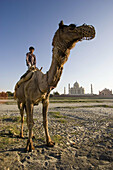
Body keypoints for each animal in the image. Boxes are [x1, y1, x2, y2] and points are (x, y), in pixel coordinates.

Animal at [14, 20, 95, 152]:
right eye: (72, 26)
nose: (90, 28)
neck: (43, 81)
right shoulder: (29, 100)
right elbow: (31, 122)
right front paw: (29, 146)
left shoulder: (45, 100)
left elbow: (45, 121)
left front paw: (49, 142)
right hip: (19, 100)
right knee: (22, 117)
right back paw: (21, 135)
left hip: (26, 102)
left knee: (26, 116)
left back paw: (32, 135)